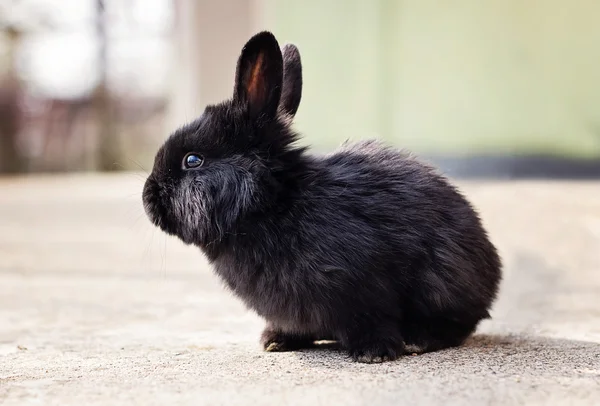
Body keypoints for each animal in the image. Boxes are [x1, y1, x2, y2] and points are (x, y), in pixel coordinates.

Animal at [144, 30, 502, 362]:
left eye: (192, 160)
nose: (148, 198)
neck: (273, 204)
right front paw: (275, 340)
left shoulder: (366, 287)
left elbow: (373, 319)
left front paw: (374, 352)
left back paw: (417, 340)